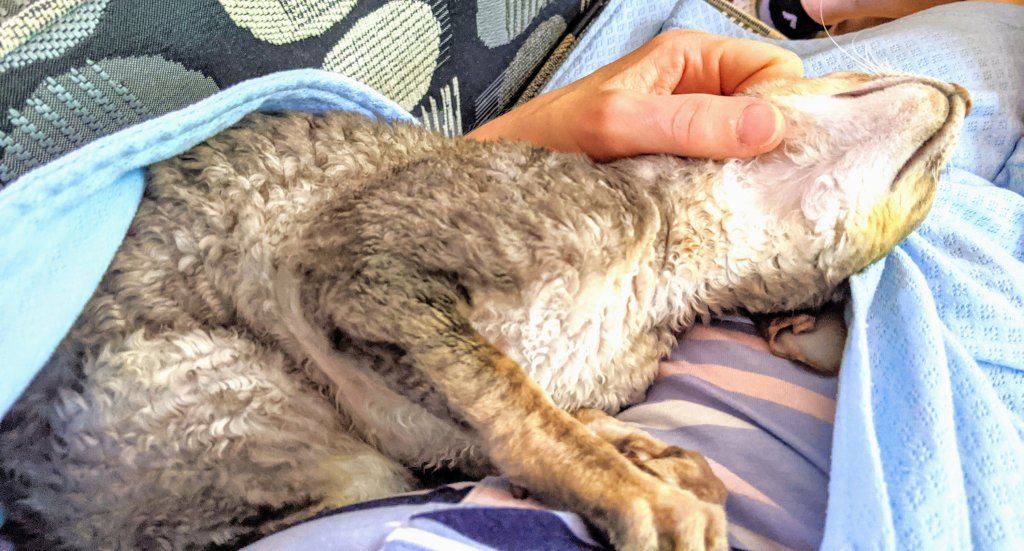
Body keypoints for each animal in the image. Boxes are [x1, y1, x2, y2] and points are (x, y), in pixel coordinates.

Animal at [0, 71, 968, 550]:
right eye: (937, 182)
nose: (962, 98)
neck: (667, 259)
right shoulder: (358, 270)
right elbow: (509, 393)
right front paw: (617, 479)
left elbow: (498, 412)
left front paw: (620, 443)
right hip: (209, 389)